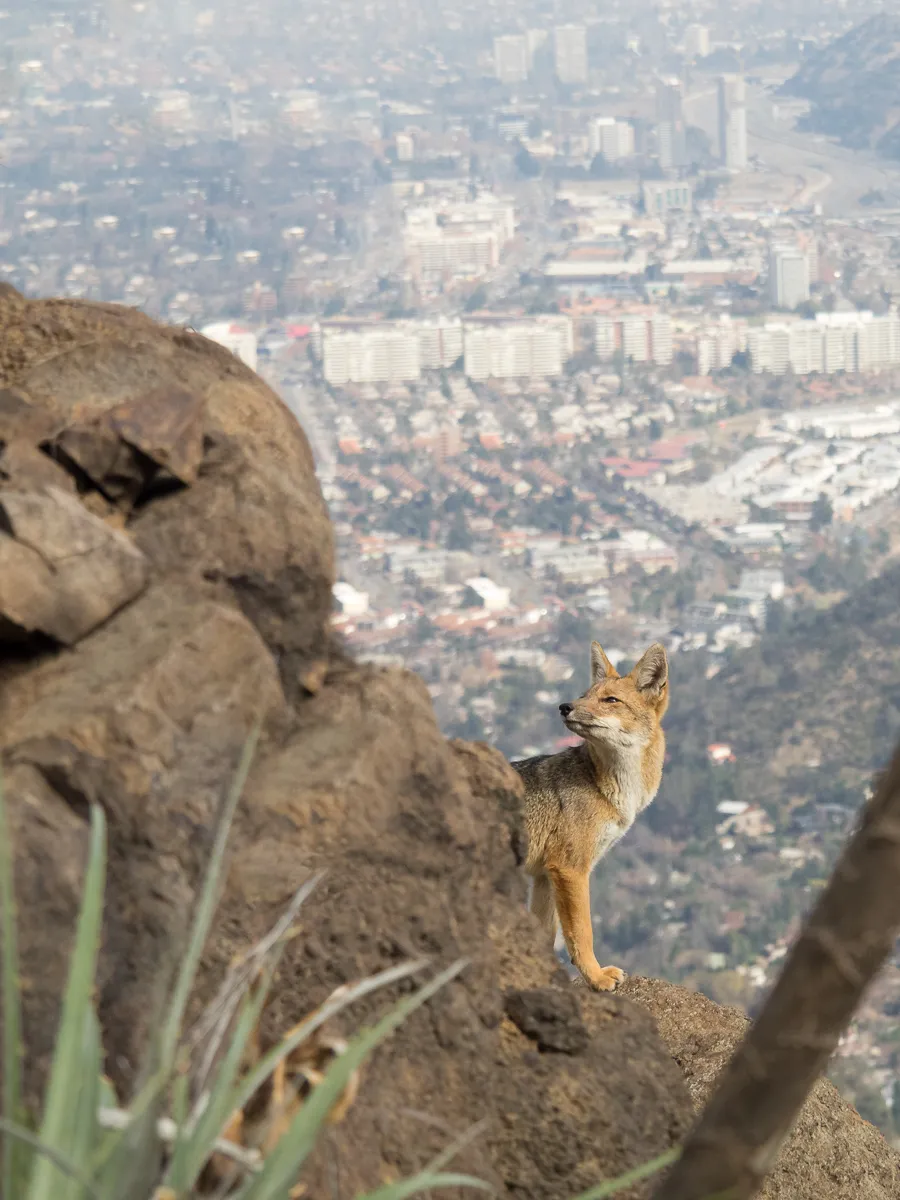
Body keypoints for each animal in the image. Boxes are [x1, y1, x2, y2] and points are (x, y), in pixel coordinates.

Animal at [511, 641, 668, 992]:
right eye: (585, 695)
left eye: (610, 700)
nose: (564, 706)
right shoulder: (570, 869)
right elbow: (582, 932)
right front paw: (595, 978)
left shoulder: (544, 876)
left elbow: (546, 936)